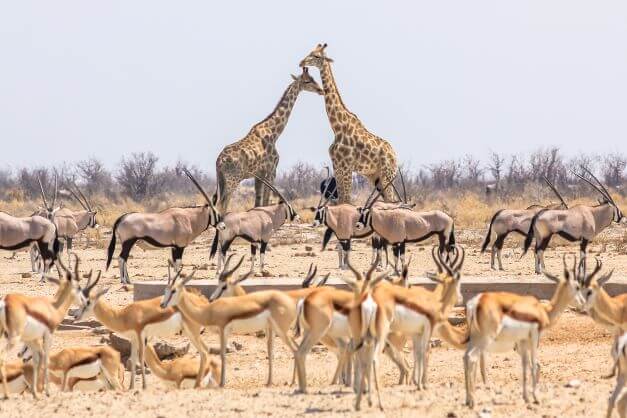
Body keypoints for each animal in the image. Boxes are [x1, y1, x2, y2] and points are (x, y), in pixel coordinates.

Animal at [216, 69, 324, 212]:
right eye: (307, 81)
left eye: (313, 78)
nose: (321, 90)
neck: (274, 133)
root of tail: (219, 161)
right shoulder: (272, 170)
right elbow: (266, 200)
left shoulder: (259, 174)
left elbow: (258, 202)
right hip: (233, 179)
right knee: (222, 205)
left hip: (222, 180)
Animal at [300, 43, 398, 203]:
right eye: (310, 52)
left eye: (316, 56)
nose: (301, 62)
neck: (337, 127)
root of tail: (395, 155)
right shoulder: (337, 165)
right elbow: (342, 200)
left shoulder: (346, 166)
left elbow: (346, 200)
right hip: (375, 176)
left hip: (387, 174)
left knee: (392, 199)